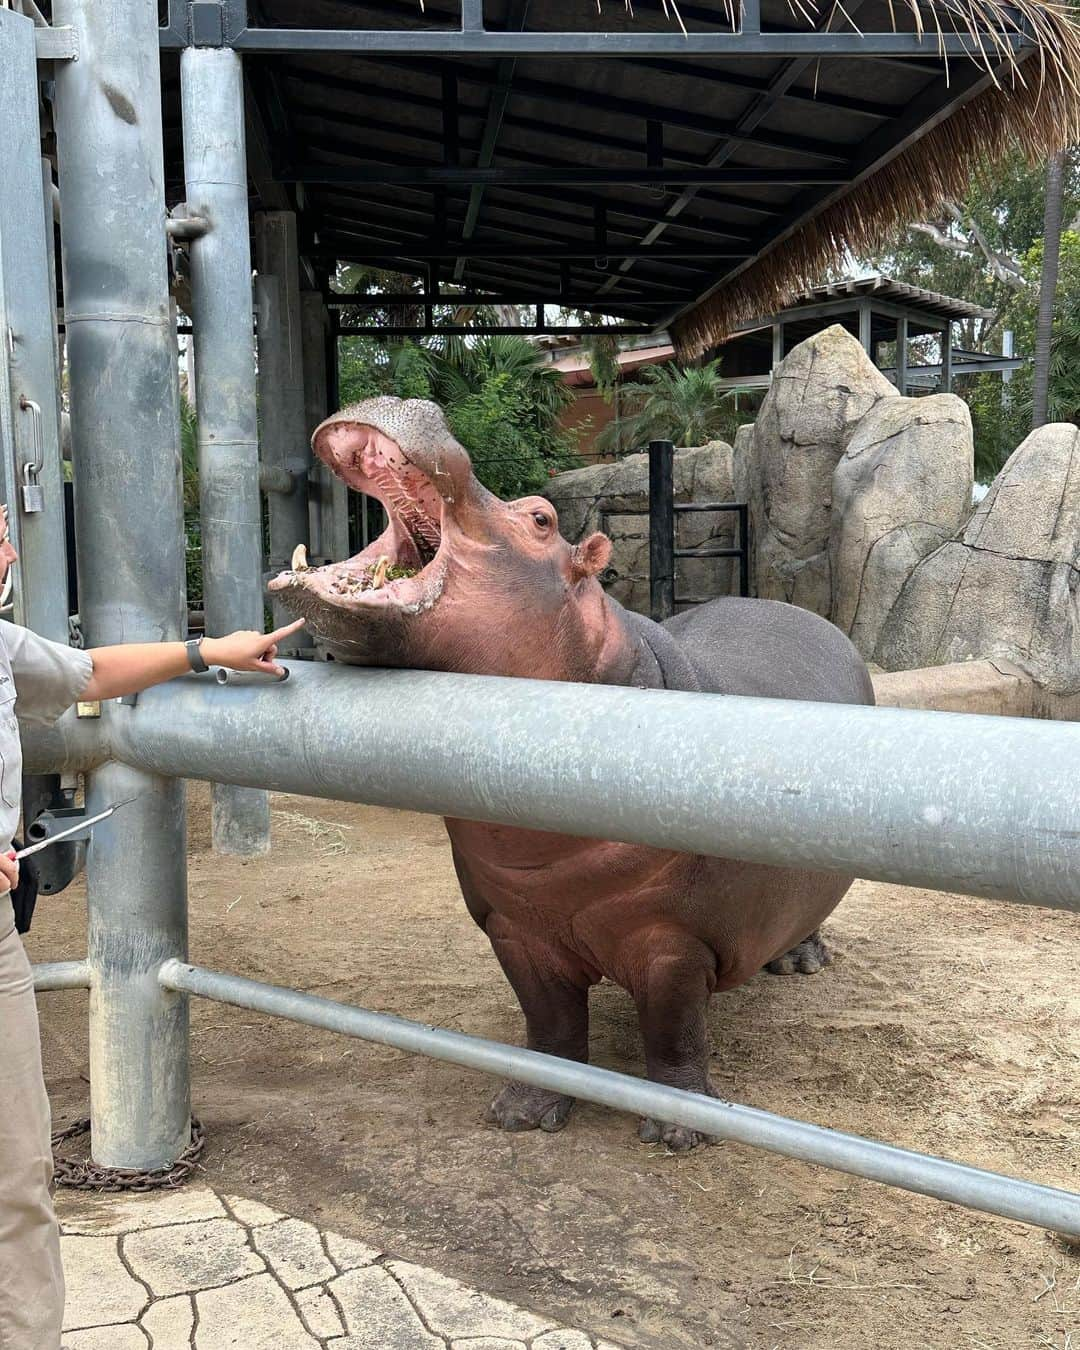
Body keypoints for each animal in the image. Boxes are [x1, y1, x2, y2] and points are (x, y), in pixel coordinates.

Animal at [267, 394, 869, 1144]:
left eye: (541, 519)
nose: (414, 401)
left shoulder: (674, 944)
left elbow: (674, 1033)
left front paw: (679, 1132)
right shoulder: (513, 927)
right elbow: (549, 1028)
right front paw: (521, 1113)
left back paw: (800, 962)